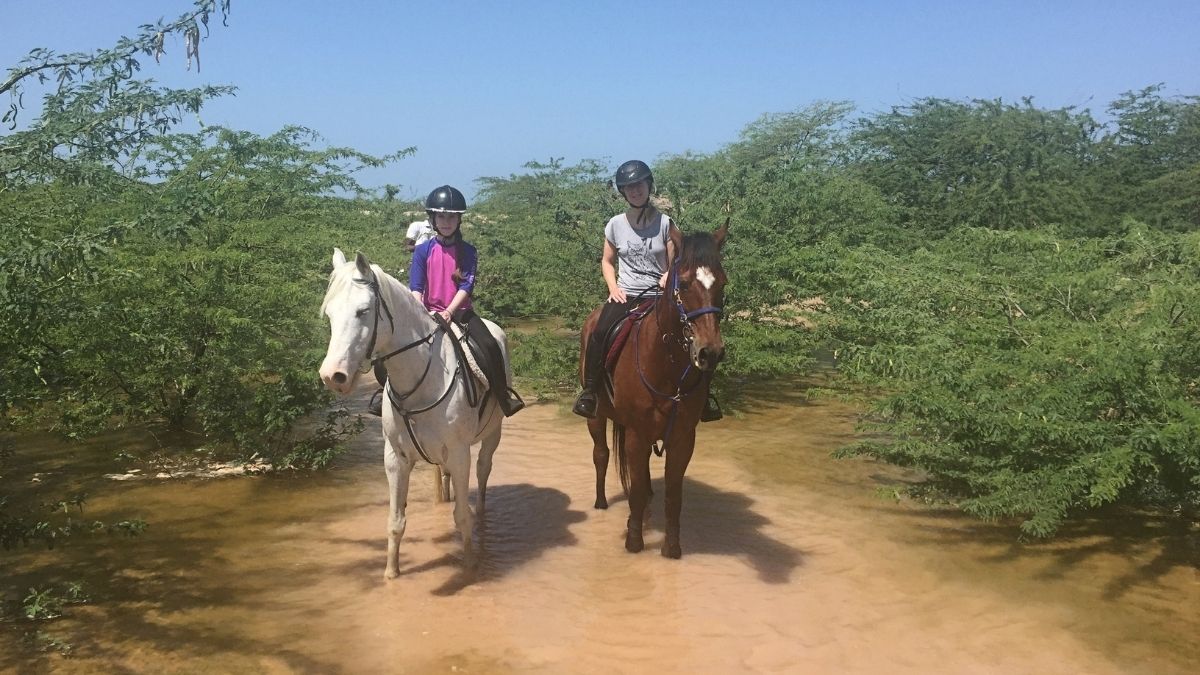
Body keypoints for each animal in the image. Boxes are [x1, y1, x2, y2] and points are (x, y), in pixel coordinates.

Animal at [319, 247, 506, 578]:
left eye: (363, 311)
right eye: (329, 313)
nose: (333, 376)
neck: (421, 378)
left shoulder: (459, 453)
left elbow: (462, 516)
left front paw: (471, 566)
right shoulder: (396, 458)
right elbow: (396, 521)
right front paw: (391, 573)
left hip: (492, 435)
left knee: (483, 472)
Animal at [583, 218, 729, 554]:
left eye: (723, 284)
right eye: (684, 284)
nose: (710, 352)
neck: (666, 365)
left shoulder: (683, 438)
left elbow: (673, 494)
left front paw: (671, 548)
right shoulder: (637, 433)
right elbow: (634, 488)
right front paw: (634, 542)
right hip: (596, 416)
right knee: (601, 455)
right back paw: (600, 502)